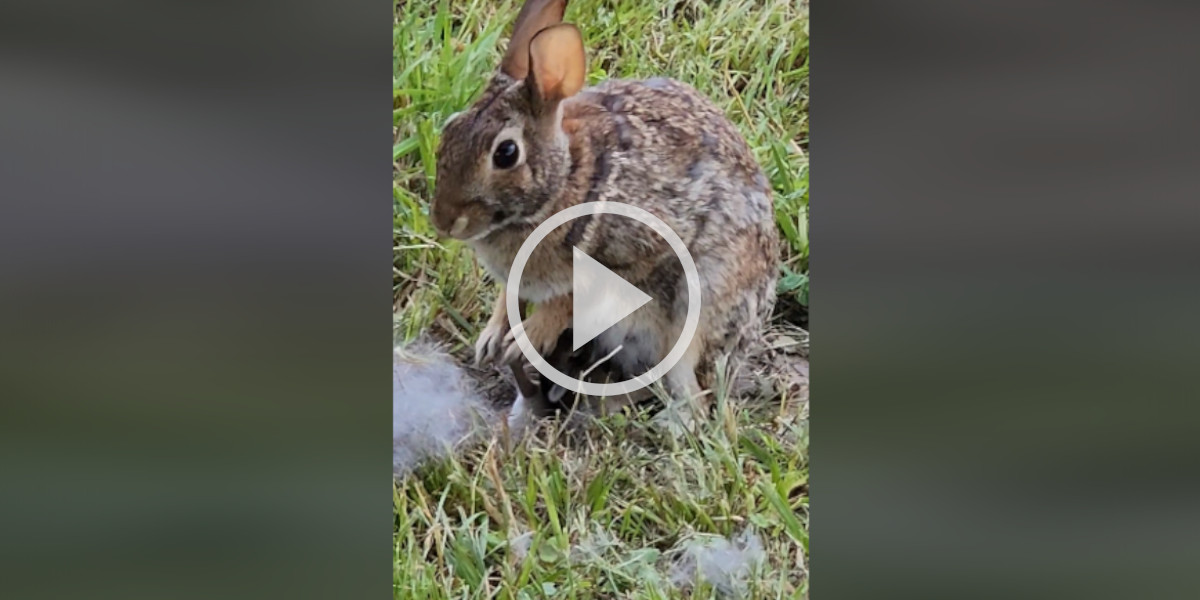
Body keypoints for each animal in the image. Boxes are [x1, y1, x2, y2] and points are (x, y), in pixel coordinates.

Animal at [432, 0, 777, 422]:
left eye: (506, 153)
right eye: (450, 129)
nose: (443, 222)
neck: (565, 178)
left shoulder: (640, 250)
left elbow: (574, 297)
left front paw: (527, 338)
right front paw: (491, 338)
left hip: (696, 314)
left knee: (688, 393)